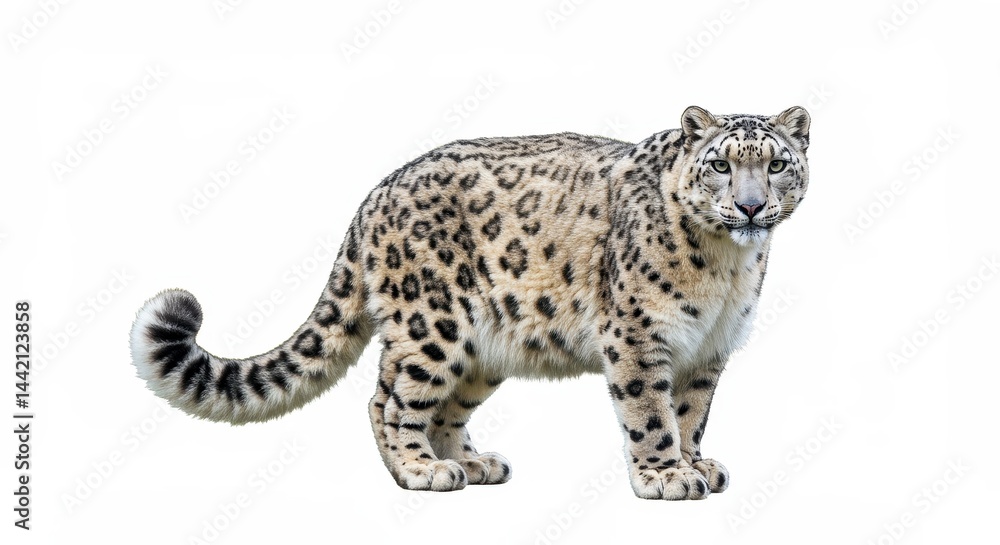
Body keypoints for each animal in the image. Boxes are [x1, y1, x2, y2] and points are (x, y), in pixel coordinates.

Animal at [130, 105, 810, 500]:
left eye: (778, 164)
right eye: (720, 165)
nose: (751, 205)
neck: (727, 269)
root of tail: (374, 195)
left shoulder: (709, 348)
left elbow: (691, 412)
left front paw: (696, 464)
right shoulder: (639, 336)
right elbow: (650, 412)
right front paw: (666, 476)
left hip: (482, 349)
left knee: (442, 405)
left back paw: (470, 461)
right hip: (431, 323)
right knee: (388, 398)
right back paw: (420, 471)